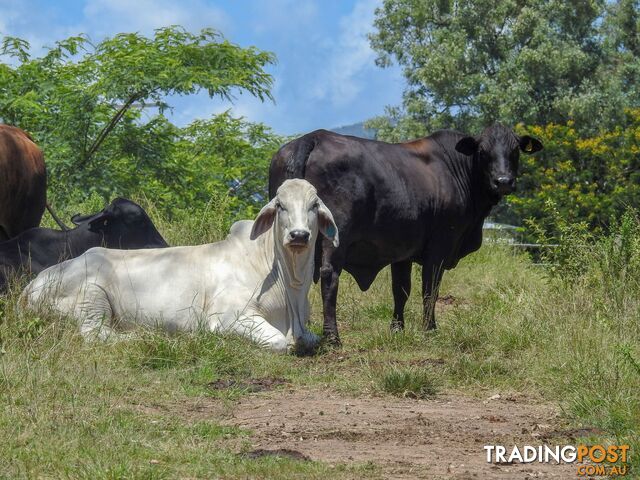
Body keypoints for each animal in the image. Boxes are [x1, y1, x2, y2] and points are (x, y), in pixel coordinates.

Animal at [20, 180, 340, 352]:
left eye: (314, 205)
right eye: (280, 206)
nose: (298, 235)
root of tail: (31, 286)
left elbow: (311, 339)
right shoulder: (230, 317)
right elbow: (279, 343)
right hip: (91, 298)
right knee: (97, 334)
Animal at [268, 123, 544, 342]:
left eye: (515, 149)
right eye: (483, 151)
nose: (503, 181)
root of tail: (313, 137)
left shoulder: (401, 251)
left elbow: (401, 290)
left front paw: (397, 329)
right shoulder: (439, 247)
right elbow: (430, 290)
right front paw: (430, 329)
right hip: (335, 235)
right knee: (329, 275)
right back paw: (332, 336)